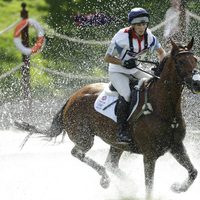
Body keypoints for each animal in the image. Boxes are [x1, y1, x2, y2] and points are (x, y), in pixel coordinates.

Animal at [14, 38, 200, 198]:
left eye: (195, 60)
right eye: (181, 62)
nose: (197, 83)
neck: (162, 108)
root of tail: (72, 97)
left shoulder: (176, 146)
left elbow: (193, 172)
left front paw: (178, 187)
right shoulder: (149, 155)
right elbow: (149, 187)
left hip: (116, 143)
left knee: (110, 163)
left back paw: (129, 185)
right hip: (84, 138)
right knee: (78, 153)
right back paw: (105, 180)